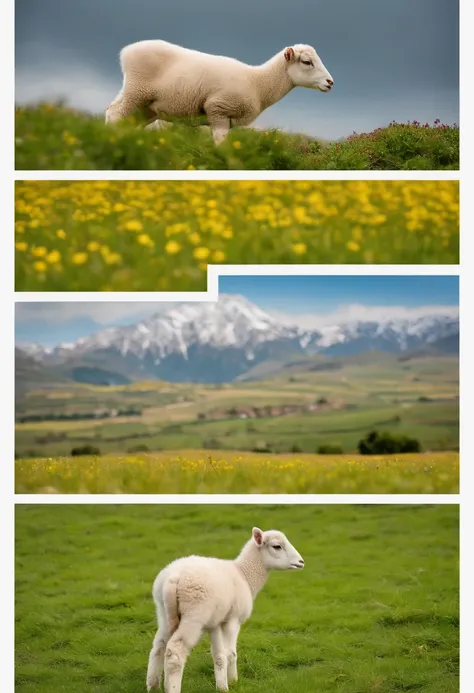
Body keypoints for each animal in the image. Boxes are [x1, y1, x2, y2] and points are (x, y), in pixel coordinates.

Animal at [105, 40, 334, 143]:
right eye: (307, 62)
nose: (330, 82)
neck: (258, 83)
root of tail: (126, 51)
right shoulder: (219, 109)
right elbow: (220, 143)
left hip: (146, 106)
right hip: (136, 91)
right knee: (114, 113)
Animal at [146, 528, 306, 688]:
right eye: (277, 546)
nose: (301, 562)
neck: (245, 574)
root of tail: (173, 577)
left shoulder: (216, 623)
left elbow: (219, 655)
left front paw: (222, 686)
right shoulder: (233, 619)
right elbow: (231, 653)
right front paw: (233, 681)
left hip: (163, 612)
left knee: (158, 647)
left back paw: (153, 686)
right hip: (194, 615)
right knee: (175, 651)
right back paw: (172, 687)